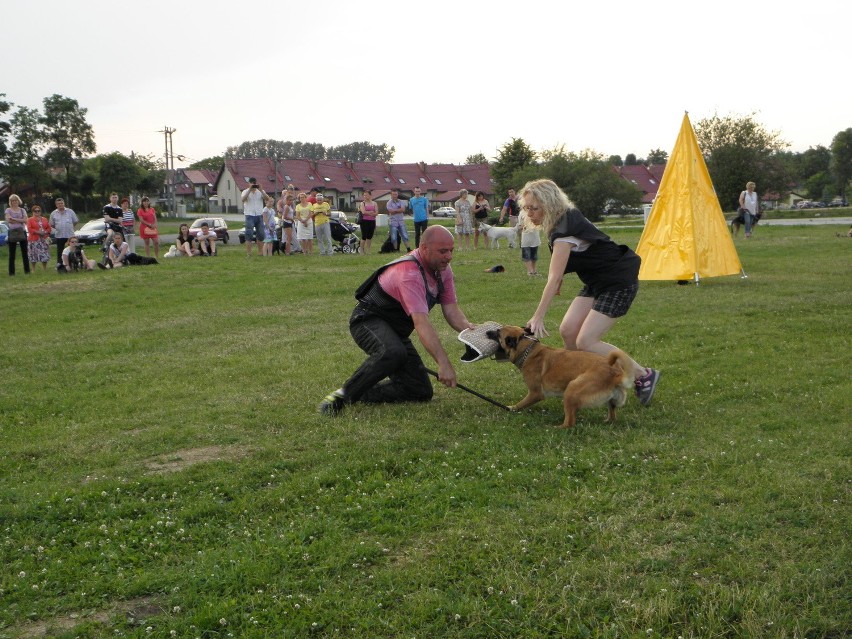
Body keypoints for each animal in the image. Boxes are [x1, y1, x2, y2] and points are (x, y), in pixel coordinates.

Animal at [486, 328, 640, 428]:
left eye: (498, 333)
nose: (486, 332)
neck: (528, 350)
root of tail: (615, 374)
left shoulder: (535, 393)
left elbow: (519, 404)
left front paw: (511, 408)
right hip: (608, 401)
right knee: (612, 414)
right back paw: (607, 421)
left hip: (571, 389)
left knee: (569, 423)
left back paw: (556, 428)